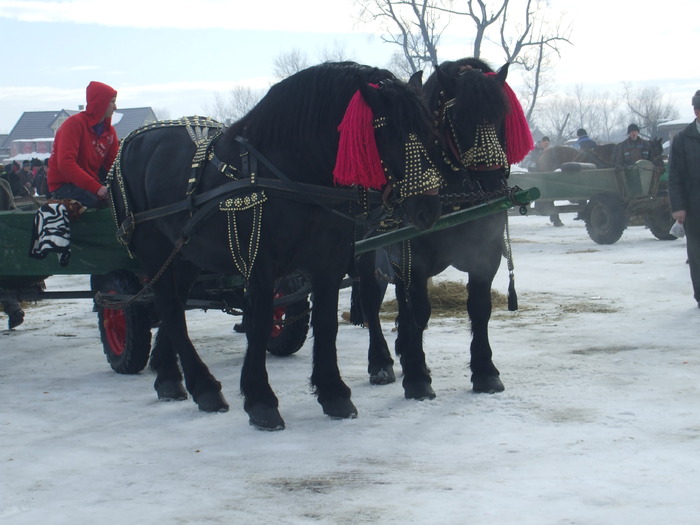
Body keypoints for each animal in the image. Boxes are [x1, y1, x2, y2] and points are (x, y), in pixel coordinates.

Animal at [112, 62, 446, 430]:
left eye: (429, 132)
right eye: (389, 133)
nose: (429, 208)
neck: (291, 172)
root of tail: (131, 142)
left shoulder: (328, 262)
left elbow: (326, 324)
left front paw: (334, 394)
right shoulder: (259, 262)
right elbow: (258, 323)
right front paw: (261, 400)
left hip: (186, 256)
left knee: (173, 308)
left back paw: (171, 378)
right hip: (156, 251)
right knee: (169, 308)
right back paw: (204, 387)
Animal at [356, 58, 532, 398]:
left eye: (501, 115)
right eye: (458, 117)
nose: (492, 182)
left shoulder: (485, 255)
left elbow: (479, 307)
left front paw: (485, 371)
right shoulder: (415, 260)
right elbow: (420, 311)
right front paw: (417, 377)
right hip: (367, 254)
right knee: (372, 301)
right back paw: (381, 362)